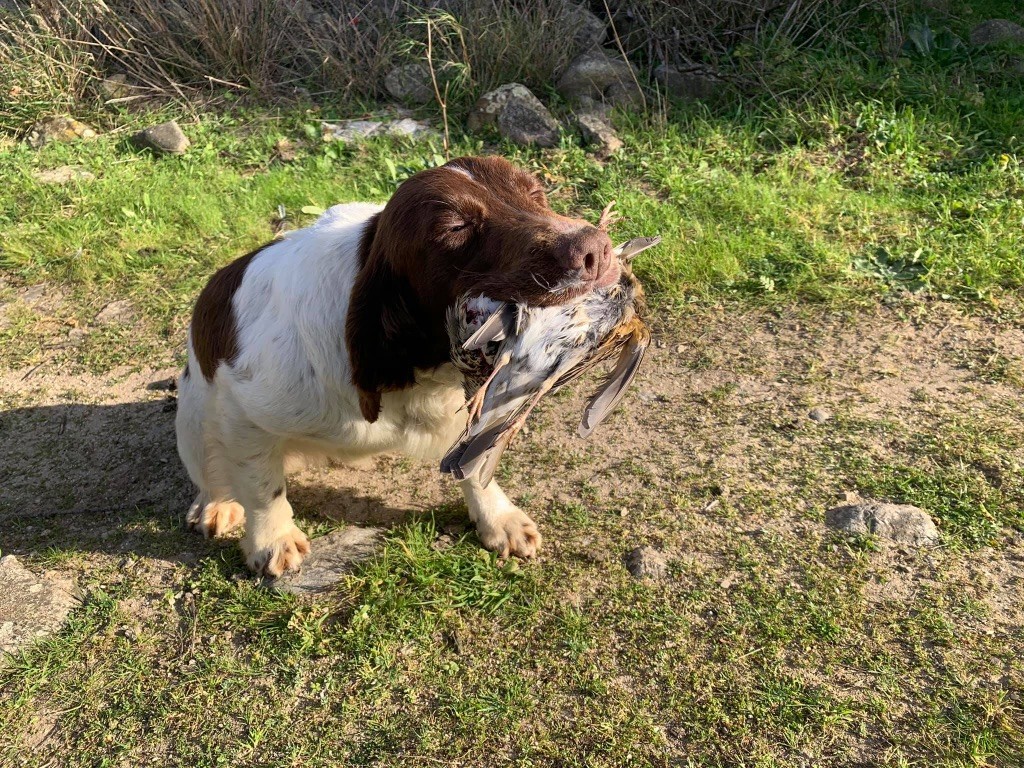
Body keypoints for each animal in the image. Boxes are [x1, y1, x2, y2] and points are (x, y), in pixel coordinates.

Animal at [175, 157, 614, 577]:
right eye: (455, 227)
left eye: (537, 193)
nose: (596, 248)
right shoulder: (243, 412)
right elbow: (263, 489)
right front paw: (272, 540)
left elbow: (474, 465)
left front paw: (497, 518)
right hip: (193, 418)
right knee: (212, 473)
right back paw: (216, 505)